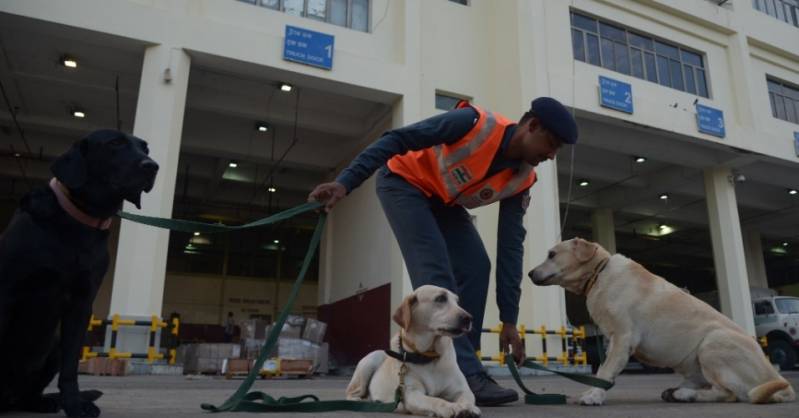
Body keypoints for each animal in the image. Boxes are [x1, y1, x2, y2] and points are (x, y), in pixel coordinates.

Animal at [0, 129, 159, 416]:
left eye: (146, 149)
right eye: (115, 143)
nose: (152, 166)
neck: (80, 223)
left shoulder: (82, 303)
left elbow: (71, 366)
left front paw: (75, 405)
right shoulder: (6, 291)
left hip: (53, 346)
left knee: (27, 393)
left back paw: (44, 402)